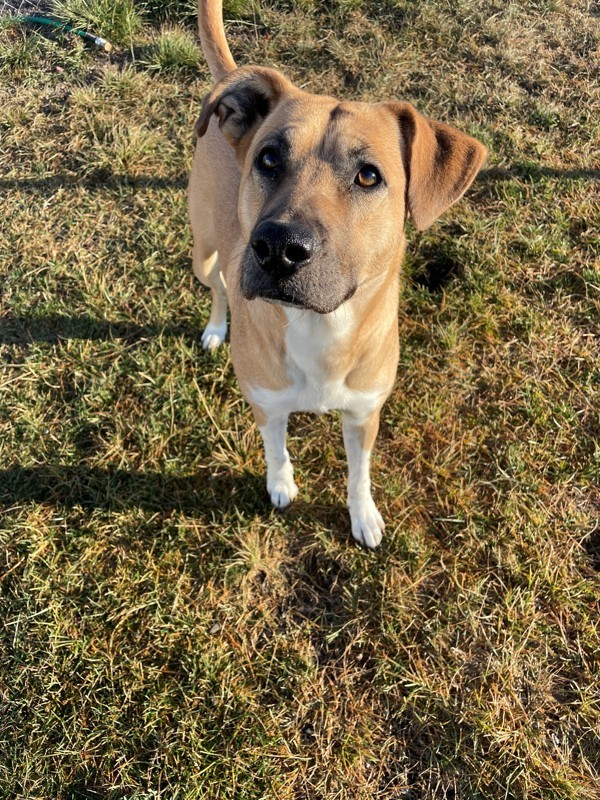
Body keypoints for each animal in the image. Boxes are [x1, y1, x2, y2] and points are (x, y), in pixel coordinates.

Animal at [190, 0, 490, 552]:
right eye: (269, 158)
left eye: (368, 175)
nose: (278, 249)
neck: (321, 327)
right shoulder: (267, 403)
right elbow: (277, 448)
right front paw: (281, 484)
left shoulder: (365, 412)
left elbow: (359, 472)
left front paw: (363, 514)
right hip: (205, 252)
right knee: (218, 286)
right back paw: (218, 328)